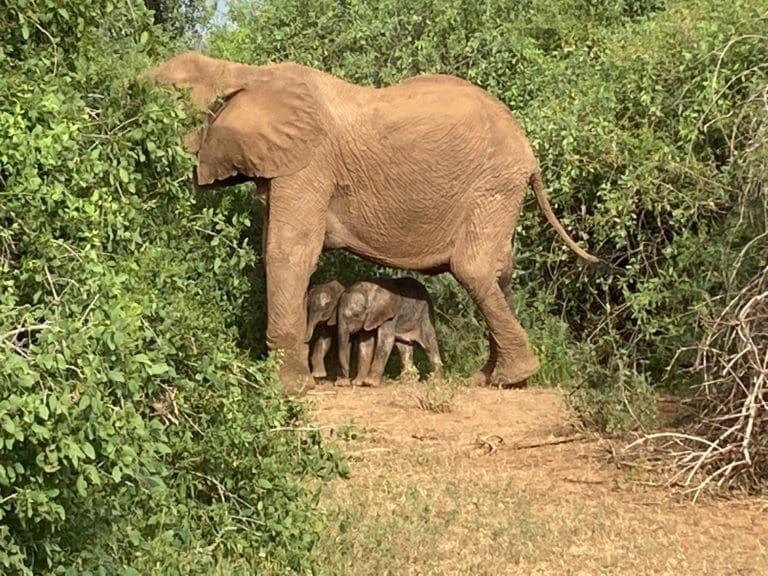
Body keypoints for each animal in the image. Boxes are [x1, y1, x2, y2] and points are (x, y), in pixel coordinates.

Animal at [142, 51, 602, 395]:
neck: (241, 72)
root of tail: (528, 150)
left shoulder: (309, 164)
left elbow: (288, 252)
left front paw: (287, 390)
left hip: (494, 185)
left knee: (473, 268)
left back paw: (508, 378)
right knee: (498, 272)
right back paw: (494, 377)